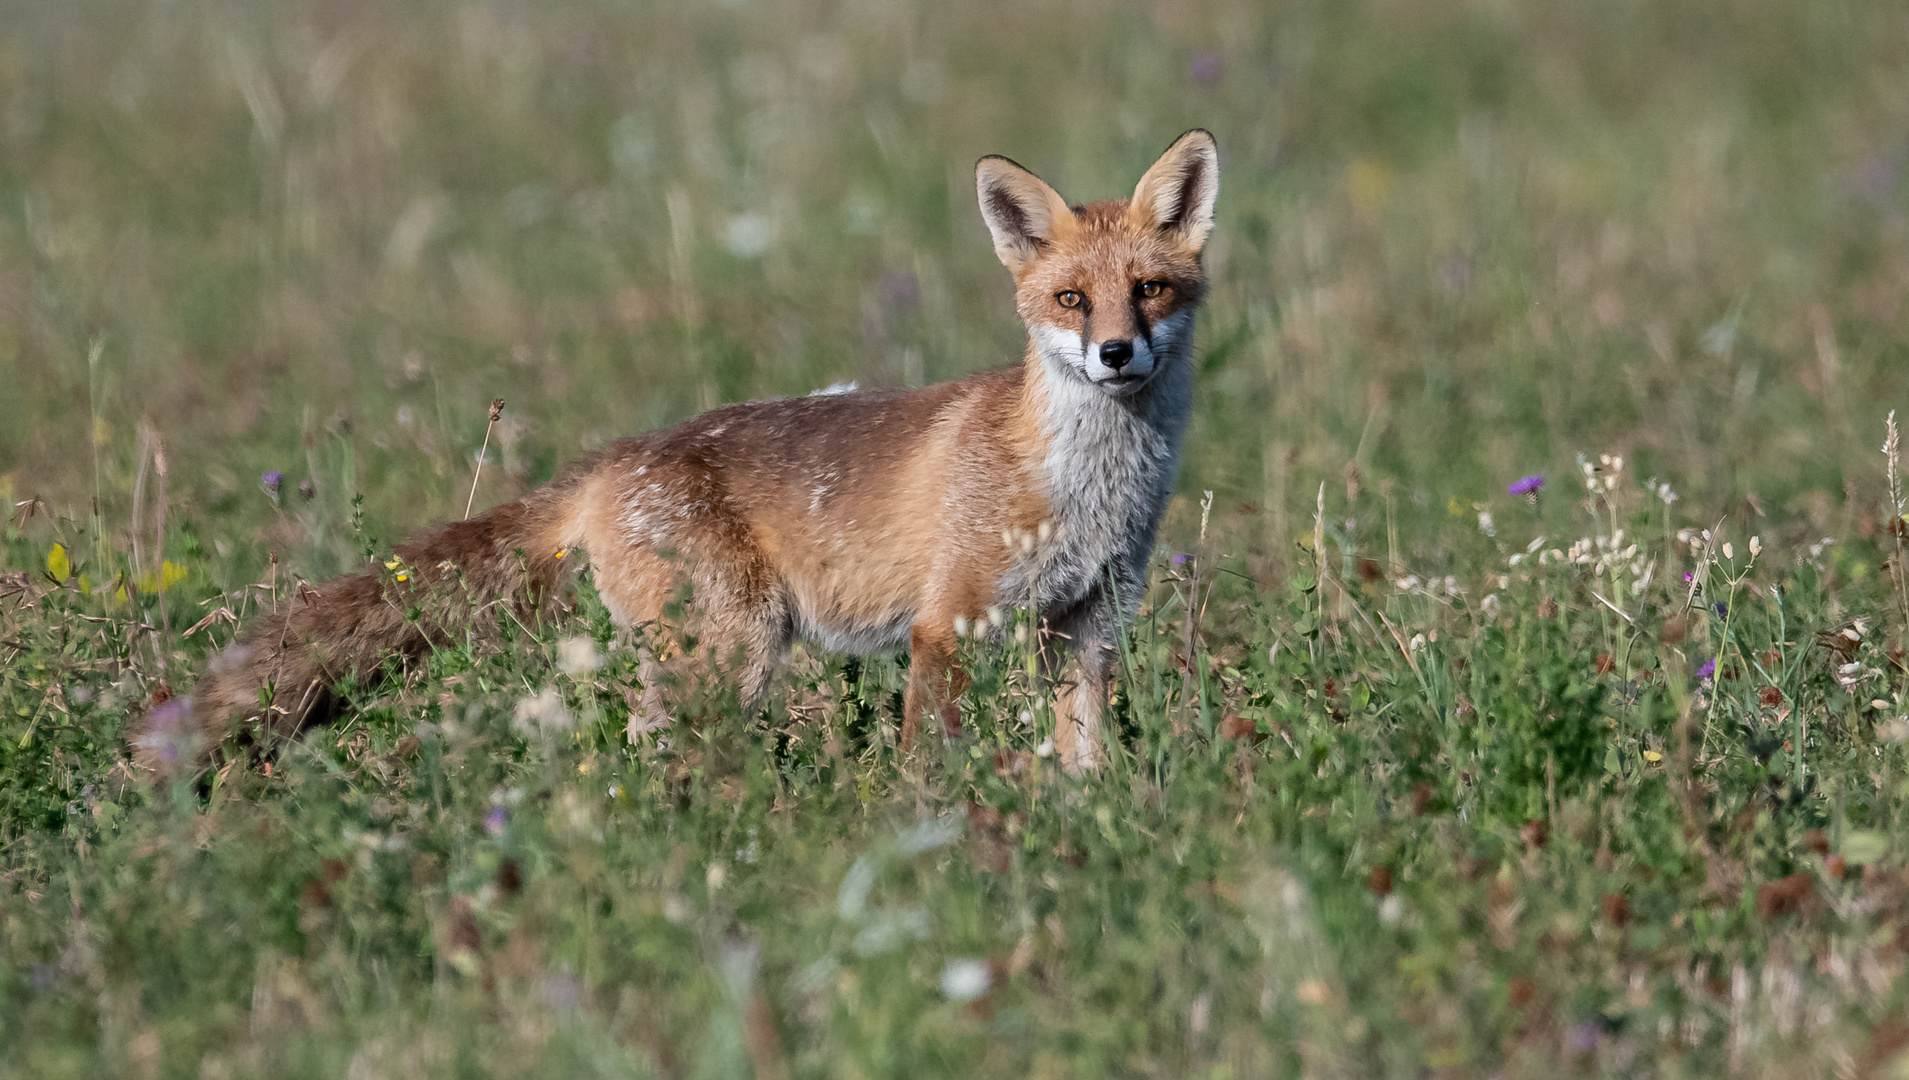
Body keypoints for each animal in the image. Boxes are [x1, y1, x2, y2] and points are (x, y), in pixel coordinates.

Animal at [148, 131, 1221, 778]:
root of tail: (610, 458)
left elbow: (1083, 764)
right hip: (734, 652)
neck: (1085, 486)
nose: (1115, 354)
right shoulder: (945, 624)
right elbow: (926, 767)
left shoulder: (1085, 626)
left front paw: (1086, 836)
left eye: (1150, 290)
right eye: (1070, 300)